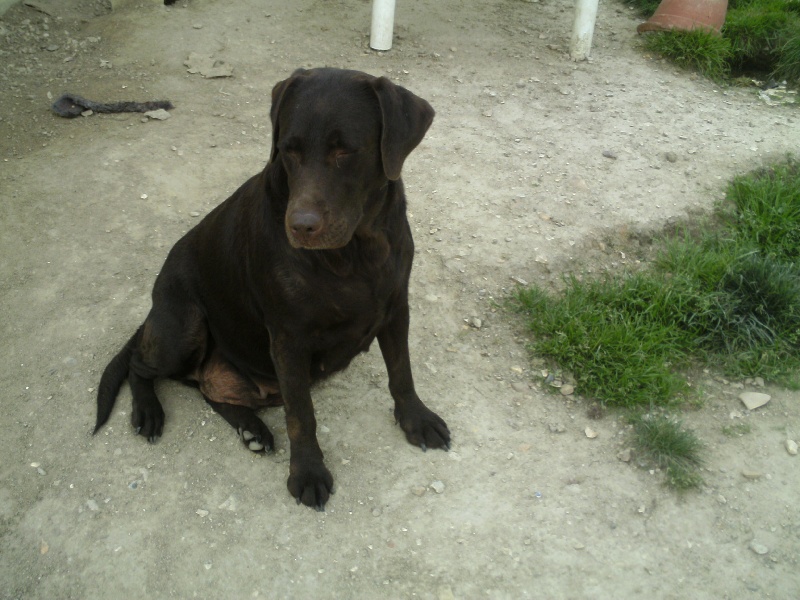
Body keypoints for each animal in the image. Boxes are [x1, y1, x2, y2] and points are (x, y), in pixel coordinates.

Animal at [94, 67, 450, 510]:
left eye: (345, 151)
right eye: (288, 150)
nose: (300, 226)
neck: (355, 251)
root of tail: (152, 314)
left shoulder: (396, 306)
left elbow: (402, 371)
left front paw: (416, 419)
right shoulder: (288, 338)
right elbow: (302, 415)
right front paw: (308, 472)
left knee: (210, 390)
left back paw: (251, 429)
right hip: (183, 325)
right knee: (141, 366)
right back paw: (148, 411)